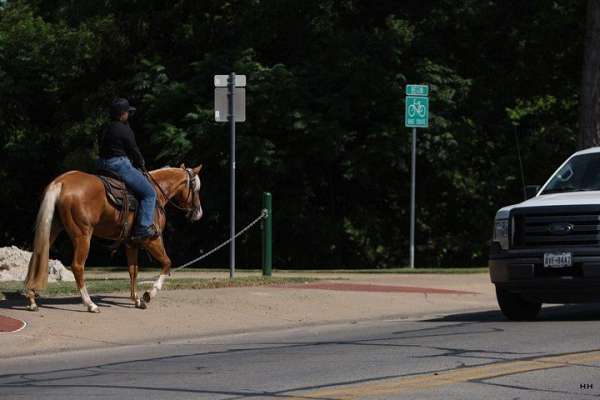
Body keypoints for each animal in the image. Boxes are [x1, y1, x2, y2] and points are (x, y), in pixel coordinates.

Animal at [23, 162, 204, 312]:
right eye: (196, 188)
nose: (198, 213)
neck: (157, 193)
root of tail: (61, 182)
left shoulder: (131, 244)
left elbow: (133, 270)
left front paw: (137, 300)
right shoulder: (152, 240)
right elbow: (167, 263)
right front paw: (148, 295)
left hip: (53, 228)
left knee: (37, 257)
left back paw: (32, 300)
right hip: (83, 236)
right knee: (77, 266)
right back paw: (90, 304)